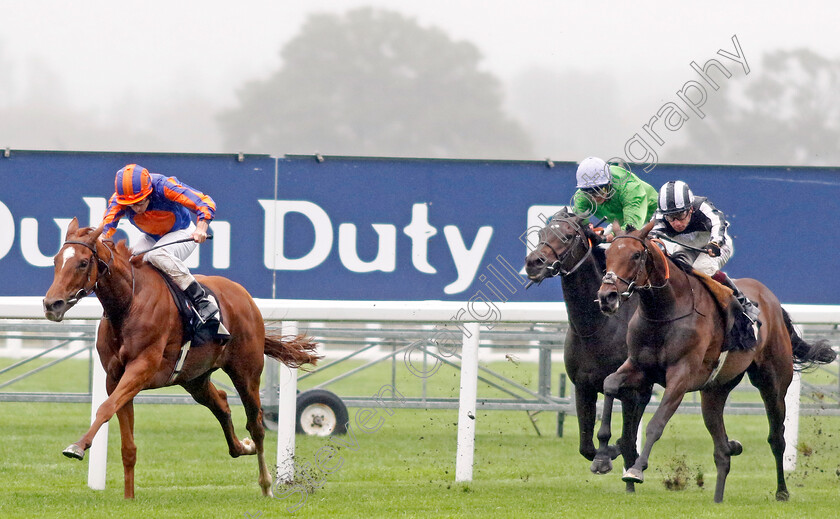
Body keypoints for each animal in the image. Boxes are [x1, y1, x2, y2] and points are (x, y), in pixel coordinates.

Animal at [41, 218, 322, 500]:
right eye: (55, 260)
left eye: (83, 262)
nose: (51, 304)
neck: (128, 303)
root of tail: (246, 298)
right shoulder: (115, 377)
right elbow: (126, 443)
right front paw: (129, 497)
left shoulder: (141, 368)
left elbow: (105, 408)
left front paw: (77, 446)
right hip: (194, 378)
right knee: (222, 404)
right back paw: (244, 446)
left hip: (246, 373)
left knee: (257, 425)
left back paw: (266, 483)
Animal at [520, 208, 652, 492]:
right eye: (541, 232)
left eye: (568, 235)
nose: (534, 262)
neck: (597, 327)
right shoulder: (583, 386)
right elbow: (586, 446)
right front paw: (605, 456)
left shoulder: (628, 388)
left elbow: (623, 437)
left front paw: (612, 458)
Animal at [596, 220, 832, 504]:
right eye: (608, 254)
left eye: (635, 255)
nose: (607, 297)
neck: (665, 311)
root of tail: (772, 300)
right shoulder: (640, 367)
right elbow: (609, 384)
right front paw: (601, 456)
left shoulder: (681, 377)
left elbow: (656, 424)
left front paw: (636, 469)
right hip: (714, 391)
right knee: (721, 451)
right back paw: (720, 493)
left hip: (772, 383)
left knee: (777, 438)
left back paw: (782, 491)